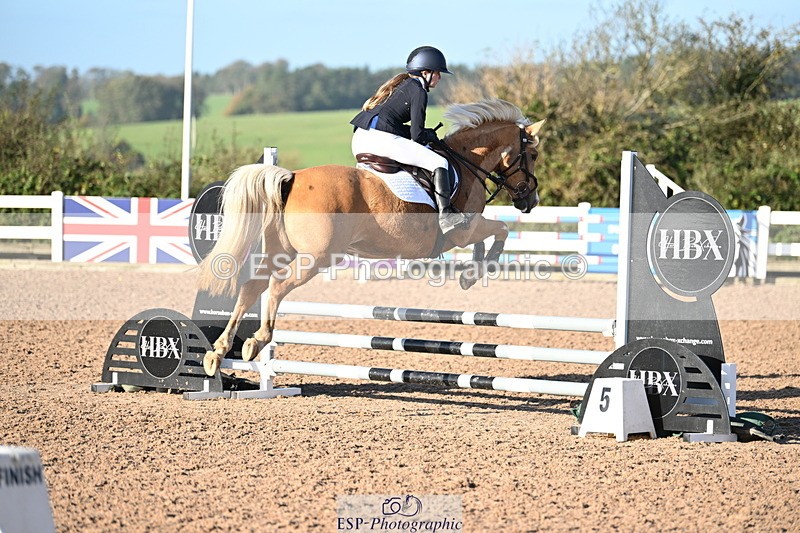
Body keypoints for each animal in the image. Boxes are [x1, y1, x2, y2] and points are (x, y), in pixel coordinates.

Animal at [198, 98, 545, 376]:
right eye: (533, 155)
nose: (531, 200)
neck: (466, 161)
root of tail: (291, 177)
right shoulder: (463, 231)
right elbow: (500, 230)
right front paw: (474, 274)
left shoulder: (467, 232)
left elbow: (490, 237)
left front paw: (470, 274)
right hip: (316, 258)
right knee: (277, 286)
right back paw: (257, 341)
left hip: (279, 251)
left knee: (251, 286)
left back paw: (218, 353)